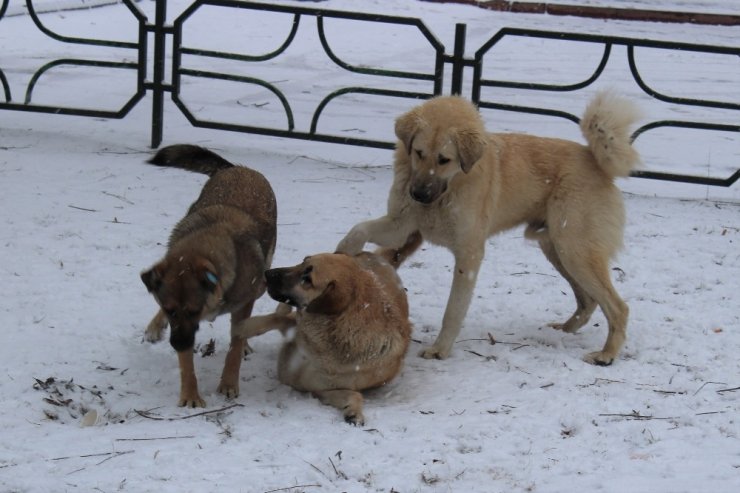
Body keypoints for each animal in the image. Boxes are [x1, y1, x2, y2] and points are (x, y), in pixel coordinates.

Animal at [140, 145, 276, 408]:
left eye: (194, 311)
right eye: (171, 310)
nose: (178, 344)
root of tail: (237, 168)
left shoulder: (243, 301)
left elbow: (234, 347)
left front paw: (229, 383)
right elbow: (187, 365)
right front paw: (190, 395)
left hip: (263, 280)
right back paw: (154, 327)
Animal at [238, 233, 422, 424]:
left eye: (307, 279)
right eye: (303, 261)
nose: (267, 273)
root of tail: (383, 261)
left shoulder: (321, 390)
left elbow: (355, 395)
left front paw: (355, 412)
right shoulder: (298, 327)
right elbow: (276, 319)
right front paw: (244, 327)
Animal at [336, 91, 640, 366]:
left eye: (444, 159)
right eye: (419, 153)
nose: (418, 195)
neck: (449, 190)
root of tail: (594, 159)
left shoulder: (468, 254)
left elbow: (454, 309)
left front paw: (440, 350)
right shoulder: (401, 227)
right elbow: (358, 230)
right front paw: (342, 254)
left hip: (574, 251)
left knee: (618, 307)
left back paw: (606, 355)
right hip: (556, 248)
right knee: (588, 301)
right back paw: (564, 331)